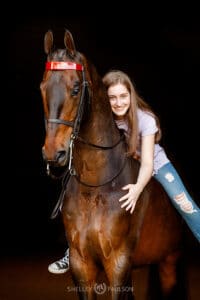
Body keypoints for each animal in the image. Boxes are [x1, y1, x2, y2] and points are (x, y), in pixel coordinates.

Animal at [39, 28, 185, 300]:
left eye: (76, 88)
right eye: (42, 87)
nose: (54, 155)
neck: (96, 188)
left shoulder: (118, 263)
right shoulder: (82, 264)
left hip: (169, 262)